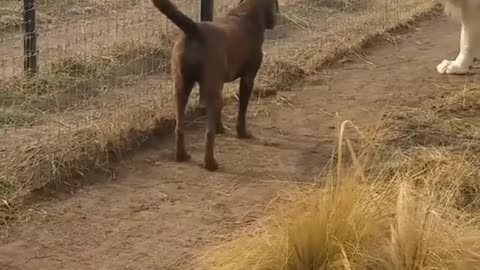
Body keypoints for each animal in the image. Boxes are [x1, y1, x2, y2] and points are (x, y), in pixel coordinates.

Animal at [152, 0, 280, 171]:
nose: (276, 20)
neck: (245, 14)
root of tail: (195, 29)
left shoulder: (220, 83)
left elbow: (221, 108)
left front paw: (220, 128)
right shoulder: (248, 78)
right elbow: (242, 111)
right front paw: (242, 133)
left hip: (181, 86)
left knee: (179, 127)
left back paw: (181, 156)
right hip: (209, 88)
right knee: (208, 133)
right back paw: (210, 163)